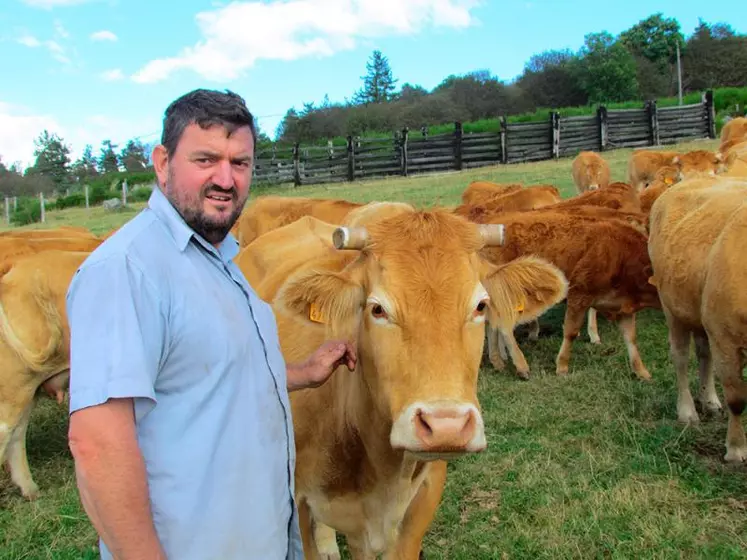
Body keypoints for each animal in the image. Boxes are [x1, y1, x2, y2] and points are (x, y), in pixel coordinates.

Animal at [644, 176, 747, 464]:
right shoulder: (725, 337)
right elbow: (737, 398)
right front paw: (736, 448)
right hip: (673, 308)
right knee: (681, 357)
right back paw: (687, 410)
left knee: (704, 354)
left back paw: (709, 399)